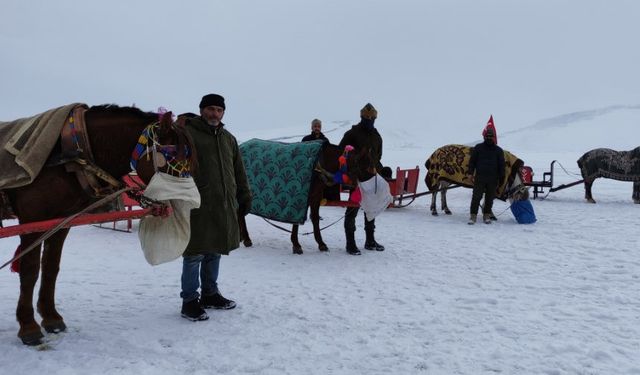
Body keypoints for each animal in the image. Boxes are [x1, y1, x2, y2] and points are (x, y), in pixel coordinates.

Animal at [1, 104, 195, 346]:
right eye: (172, 159)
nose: (188, 202)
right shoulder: (32, 218)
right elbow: (29, 270)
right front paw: (28, 326)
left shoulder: (61, 221)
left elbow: (51, 267)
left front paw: (51, 317)